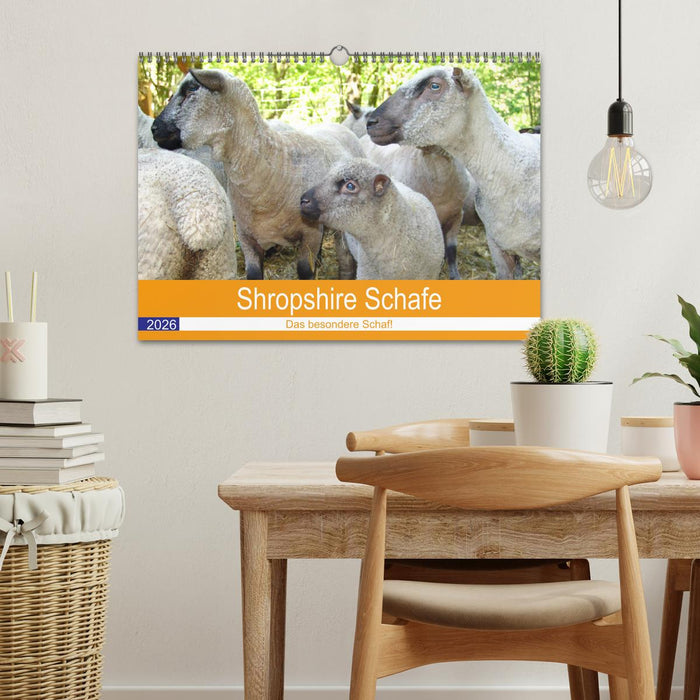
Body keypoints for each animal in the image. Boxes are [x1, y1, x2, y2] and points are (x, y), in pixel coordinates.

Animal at [151, 69, 364, 280]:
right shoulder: (247, 238)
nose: (154, 129)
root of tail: (338, 126)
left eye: (191, 89)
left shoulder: (309, 234)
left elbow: (305, 271)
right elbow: (253, 274)